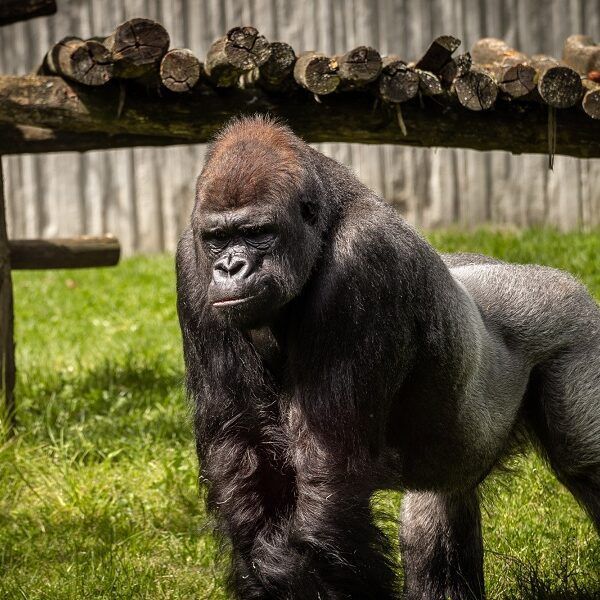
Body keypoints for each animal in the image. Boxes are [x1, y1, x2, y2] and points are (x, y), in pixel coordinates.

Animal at [177, 115, 600, 596]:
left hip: (572, 318)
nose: (230, 267)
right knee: (437, 506)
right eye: (217, 239)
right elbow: (241, 450)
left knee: (585, 462)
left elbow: (328, 474)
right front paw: (266, 570)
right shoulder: (191, 267)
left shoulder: (361, 261)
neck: (325, 223)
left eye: (257, 233)